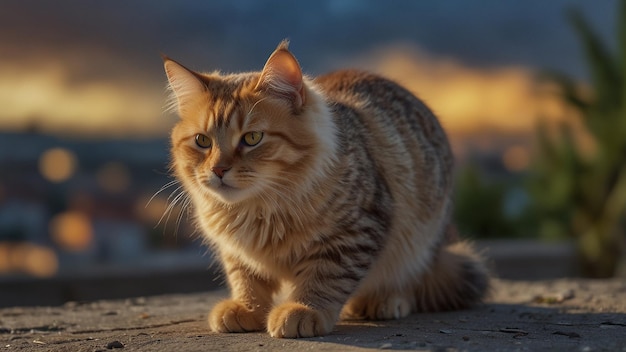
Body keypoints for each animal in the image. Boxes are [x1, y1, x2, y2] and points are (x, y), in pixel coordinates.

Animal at [162, 40, 488, 338]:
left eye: (252, 138)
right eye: (202, 141)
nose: (218, 170)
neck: (257, 209)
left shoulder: (354, 232)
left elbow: (325, 278)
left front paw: (303, 310)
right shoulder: (236, 251)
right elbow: (247, 279)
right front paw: (247, 308)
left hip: (421, 238)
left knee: (408, 280)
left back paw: (383, 300)